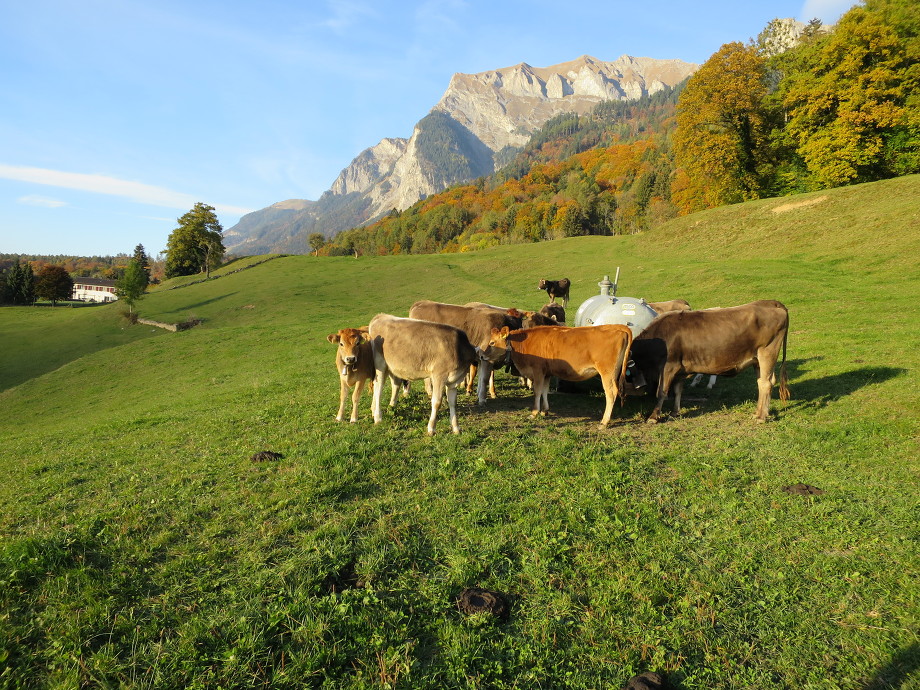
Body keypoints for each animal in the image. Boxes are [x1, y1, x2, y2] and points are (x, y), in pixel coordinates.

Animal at [488, 324, 632, 430]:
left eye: (492, 343)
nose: (483, 356)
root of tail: (616, 326)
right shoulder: (547, 373)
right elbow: (545, 391)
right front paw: (544, 411)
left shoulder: (538, 371)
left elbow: (537, 391)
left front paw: (534, 413)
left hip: (607, 373)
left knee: (611, 393)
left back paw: (604, 422)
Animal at [632, 300, 792, 422]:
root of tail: (770, 302)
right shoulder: (679, 370)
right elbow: (678, 391)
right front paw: (674, 413)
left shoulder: (668, 366)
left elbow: (661, 392)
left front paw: (653, 417)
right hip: (757, 359)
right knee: (761, 382)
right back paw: (758, 412)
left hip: (767, 352)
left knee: (766, 383)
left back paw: (761, 417)